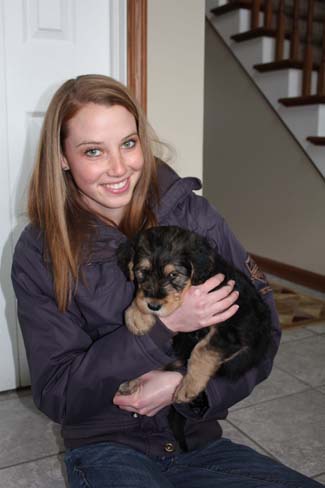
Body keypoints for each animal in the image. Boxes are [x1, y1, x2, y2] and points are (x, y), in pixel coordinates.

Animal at [116, 225, 270, 404]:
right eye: (143, 271)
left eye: (173, 275)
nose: (153, 306)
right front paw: (137, 316)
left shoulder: (229, 328)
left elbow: (202, 351)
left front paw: (188, 387)